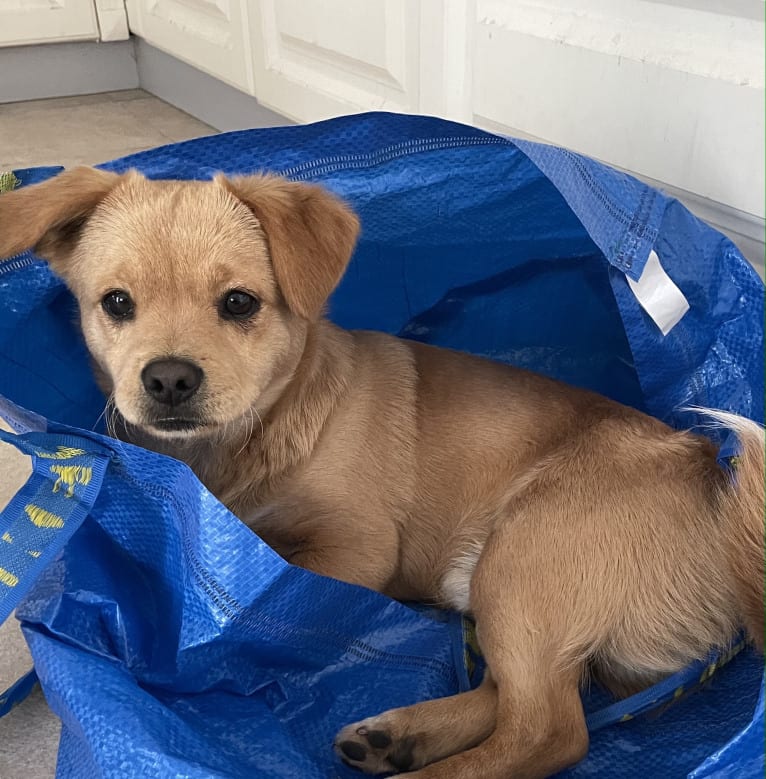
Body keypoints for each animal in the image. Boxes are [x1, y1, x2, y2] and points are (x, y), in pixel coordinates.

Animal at [1, 171, 766, 779]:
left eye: (240, 303)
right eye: (116, 302)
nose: (167, 379)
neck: (250, 441)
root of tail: (712, 486)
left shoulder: (355, 549)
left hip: (525, 560)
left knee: (546, 731)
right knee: (521, 698)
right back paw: (397, 734)